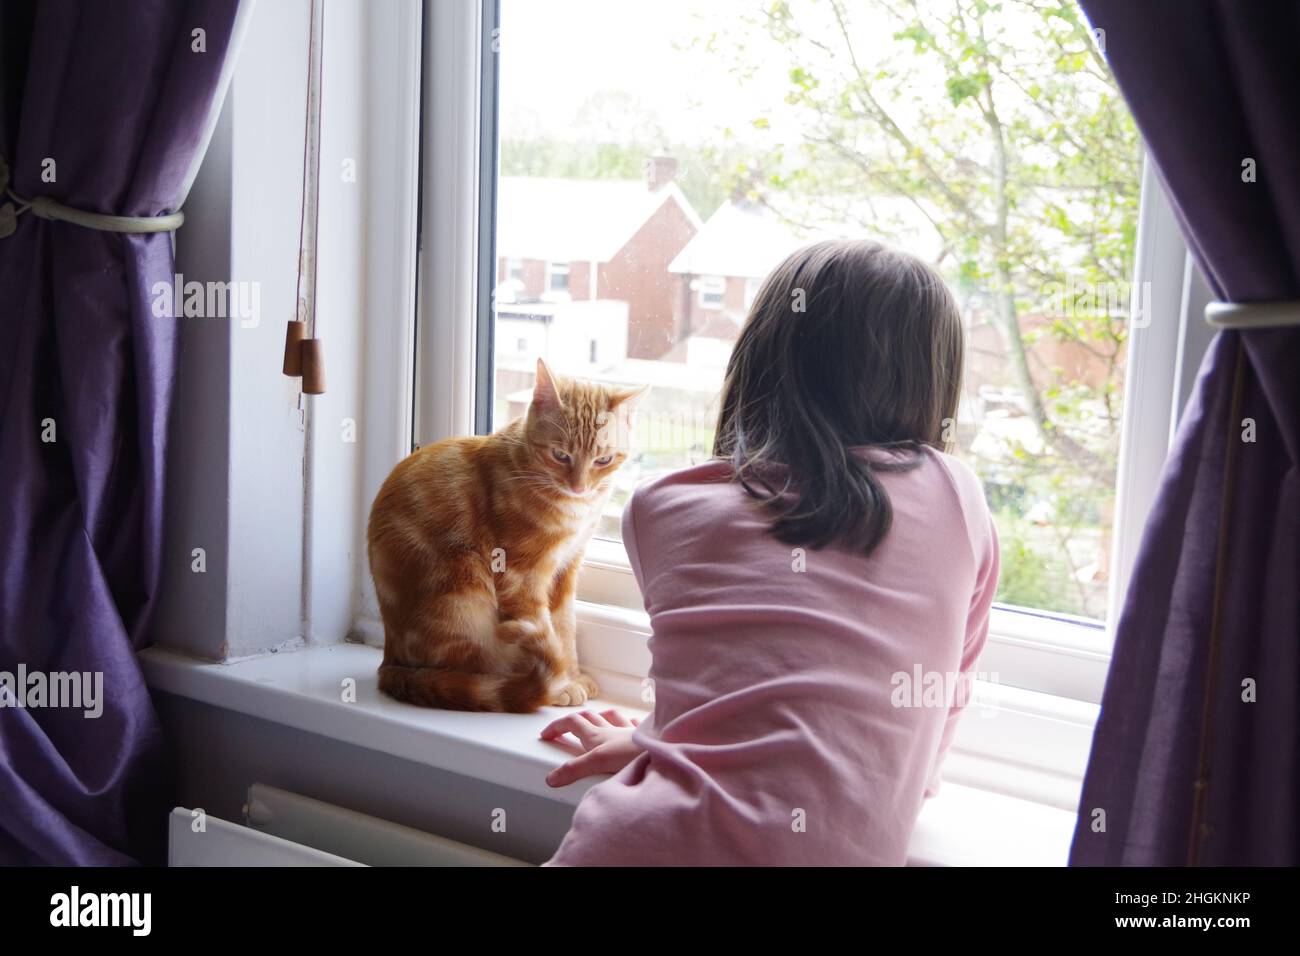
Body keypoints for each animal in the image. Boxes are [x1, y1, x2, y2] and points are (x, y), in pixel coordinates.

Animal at [371, 358, 644, 712]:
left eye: (603, 460)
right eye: (560, 455)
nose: (579, 486)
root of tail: (389, 660)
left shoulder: (566, 568)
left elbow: (564, 627)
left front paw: (571, 673)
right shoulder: (521, 574)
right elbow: (542, 625)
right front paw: (561, 686)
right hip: (464, 590)